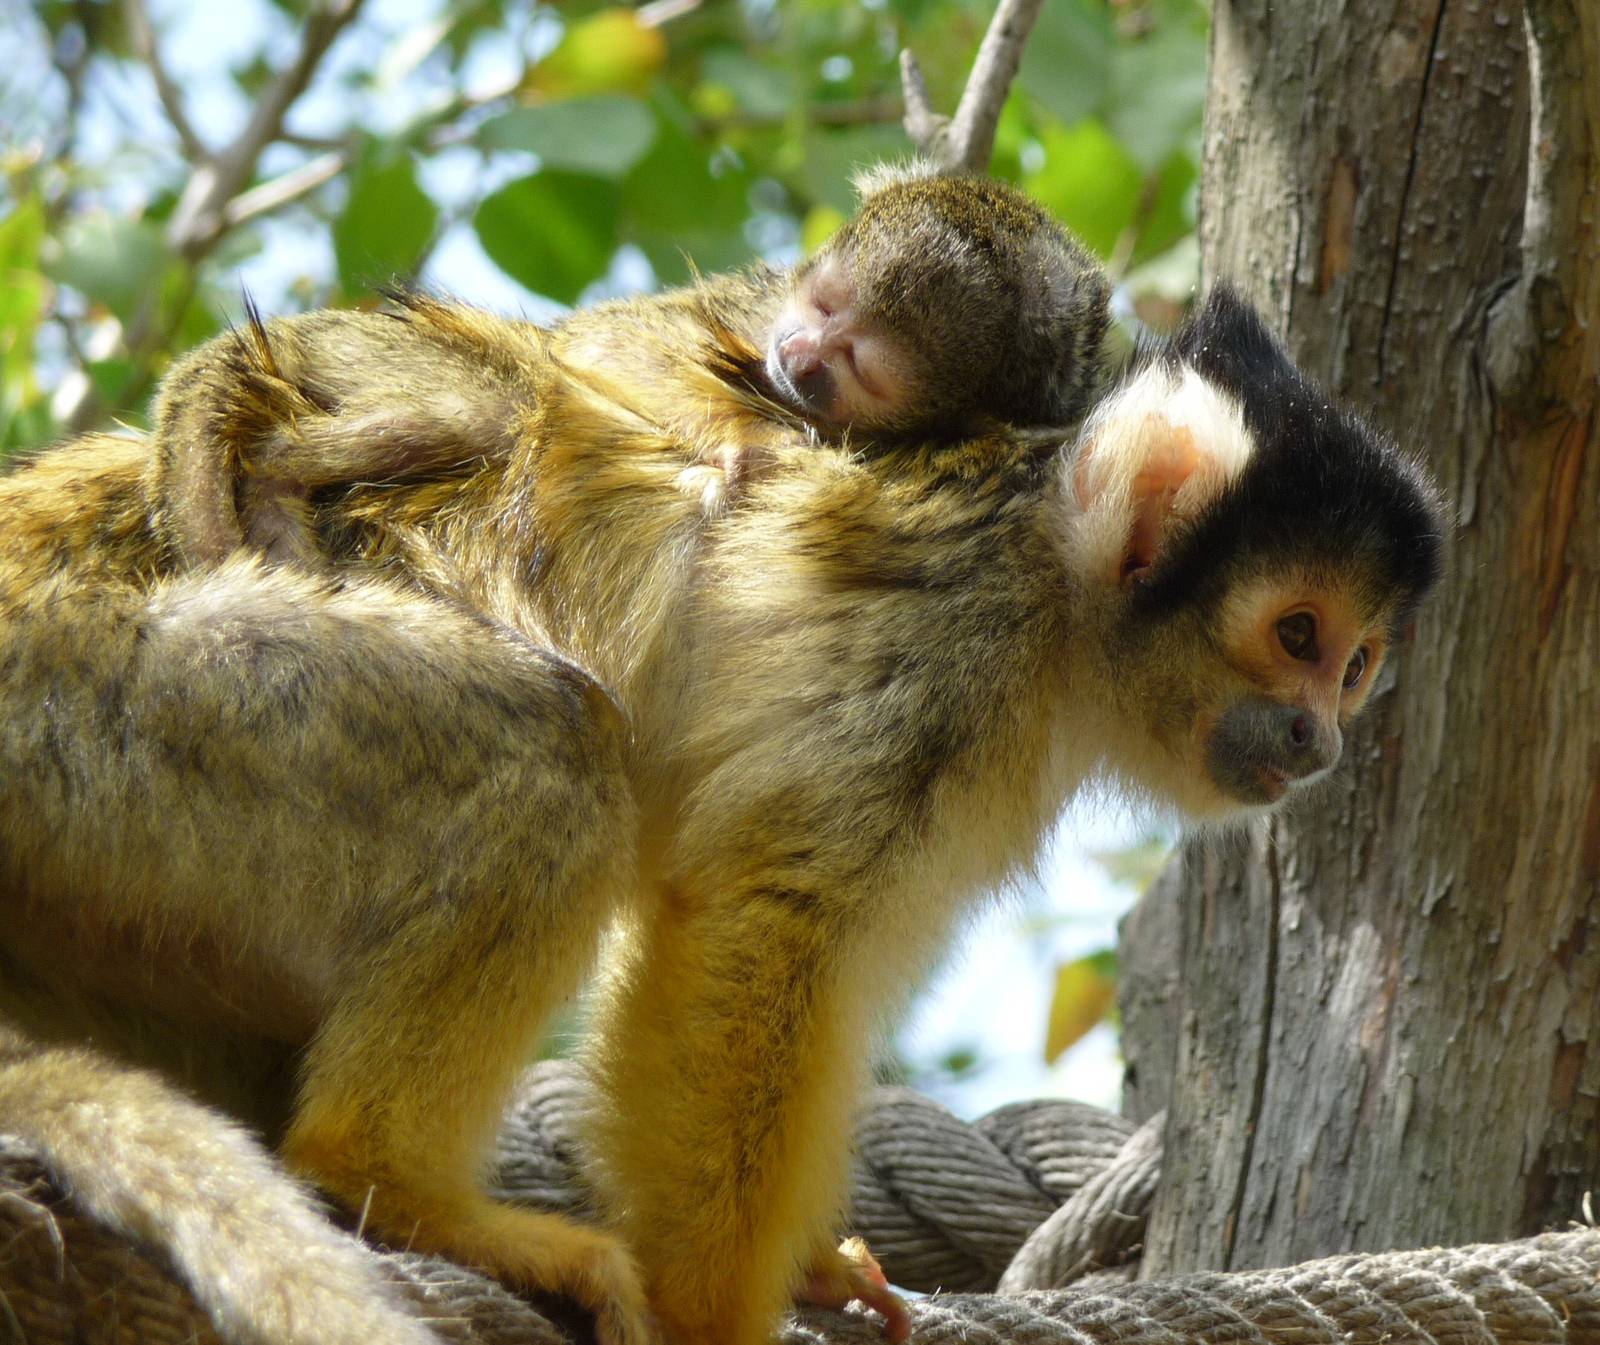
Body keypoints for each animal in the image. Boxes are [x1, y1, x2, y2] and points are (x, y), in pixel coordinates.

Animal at [0, 284, 1445, 1345]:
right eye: (1296, 633)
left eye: (1357, 663)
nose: (1318, 736)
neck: (1055, 578)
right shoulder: (954, 647)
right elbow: (764, 922)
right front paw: (716, 1314)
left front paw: (809, 1267)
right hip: (110, 698)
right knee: (553, 749)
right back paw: (390, 1180)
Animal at [152, 163, 1110, 572]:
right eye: (823, 305)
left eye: (855, 365)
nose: (798, 358)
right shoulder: (758, 301)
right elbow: (606, 348)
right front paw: (749, 445)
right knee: (505, 396)